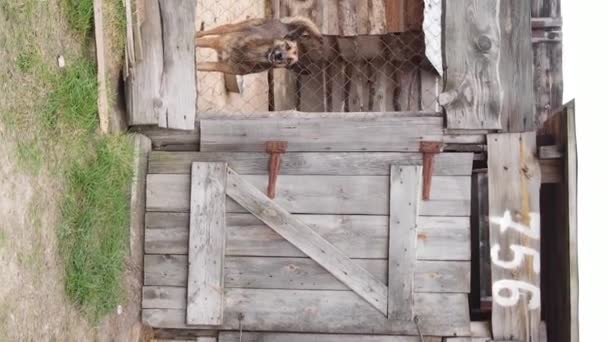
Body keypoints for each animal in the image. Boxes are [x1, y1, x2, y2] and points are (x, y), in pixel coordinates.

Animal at [196, 16, 324, 75]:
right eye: (287, 45)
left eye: (288, 61)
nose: (279, 56)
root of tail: (287, 26)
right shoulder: (218, 42)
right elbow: (198, 42)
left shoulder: (222, 67)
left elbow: (201, 66)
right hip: (235, 28)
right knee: (218, 30)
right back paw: (197, 33)